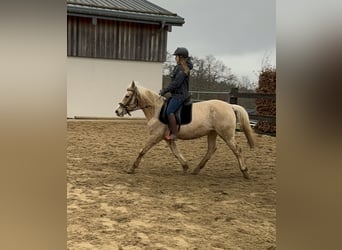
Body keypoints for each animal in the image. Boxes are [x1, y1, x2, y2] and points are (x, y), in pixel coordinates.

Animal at [115, 81, 254, 179]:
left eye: (127, 96)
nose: (117, 111)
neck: (156, 109)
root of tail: (230, 106)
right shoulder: (168, 139)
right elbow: (176, 152)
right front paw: (185, 167)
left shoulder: (155, 136)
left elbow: (142, 151)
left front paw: (131, 169)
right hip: (212, 133)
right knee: (211, 149)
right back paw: (196, 170)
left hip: (226, 135)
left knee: (237, 150)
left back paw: (245, 172)